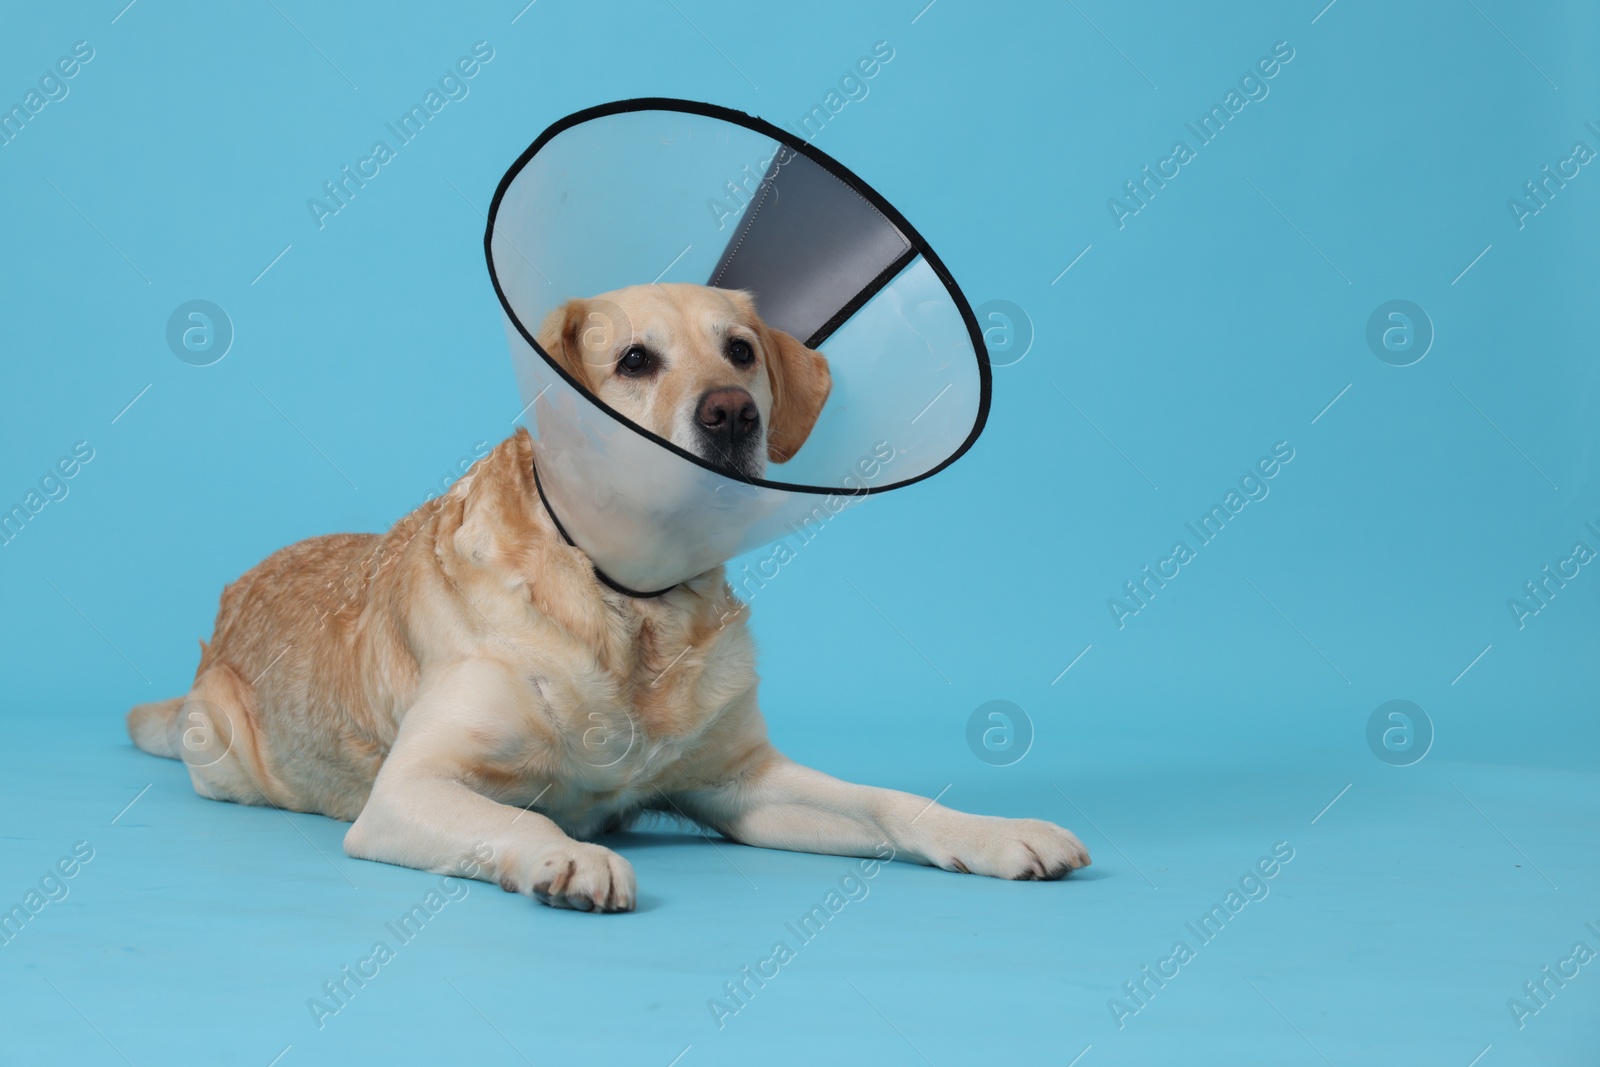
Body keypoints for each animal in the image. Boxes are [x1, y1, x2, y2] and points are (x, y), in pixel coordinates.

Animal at [131, 281, 1094, 908]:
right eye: (634, 359)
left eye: (740, 349)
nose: (733, 413)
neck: (630, 602)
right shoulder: (409, 787)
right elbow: (525, 821)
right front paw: (569, 858)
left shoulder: (745, 783)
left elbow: (888, 800)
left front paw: (992, 828)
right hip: (221, 749)